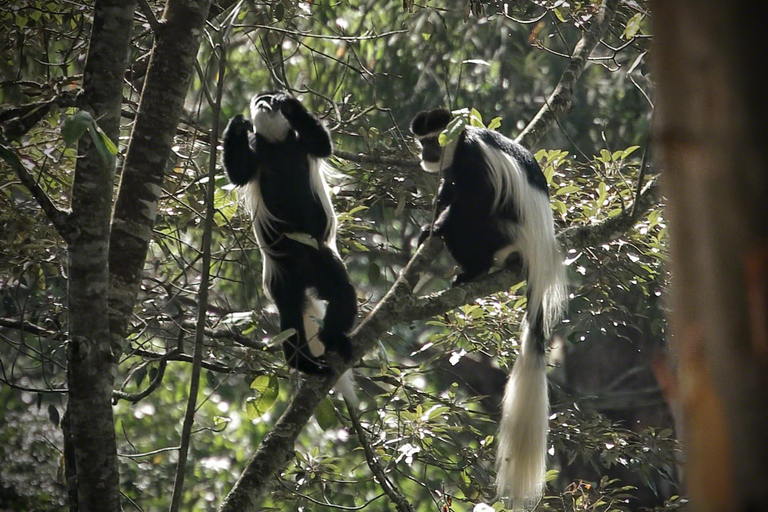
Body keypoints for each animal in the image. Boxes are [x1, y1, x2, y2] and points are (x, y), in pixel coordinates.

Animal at [220, 90, 356, 374]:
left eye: (268, 98)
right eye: (259, 100)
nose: (264, 102)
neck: (277, 144)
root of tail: (304, 271)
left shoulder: (301, 144)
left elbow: (323, 144)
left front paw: (289, 104)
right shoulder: (256, 151)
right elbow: (238, 173)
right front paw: (236, 124)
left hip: (321, 259)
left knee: (342, 293)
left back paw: (333, 339)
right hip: (282, 276)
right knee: (291, 315)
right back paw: (303, 363)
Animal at [412, 109, 568, 508]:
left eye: (432, 140)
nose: (426, 154)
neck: (461, 142)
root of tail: (539, 253)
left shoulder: (474, 162)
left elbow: (473, 199)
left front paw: (436, 226)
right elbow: (448, 190)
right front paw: (431, 217)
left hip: (503, 233)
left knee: (475, 218)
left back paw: (470, 268)